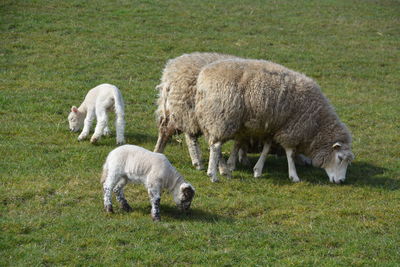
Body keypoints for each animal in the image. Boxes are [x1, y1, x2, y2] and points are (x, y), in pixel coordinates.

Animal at [195, 58, 354, 184]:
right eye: (340, 158)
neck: (317, 123)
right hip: (223, 118)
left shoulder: (272, 128)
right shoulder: (291, 128)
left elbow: (266, 149)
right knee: (216, 147)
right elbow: (290, 153)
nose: (341, 181)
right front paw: (294, 176)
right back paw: (213, 175)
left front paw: (258, 170)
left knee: (213, 145)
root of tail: (203, 78)